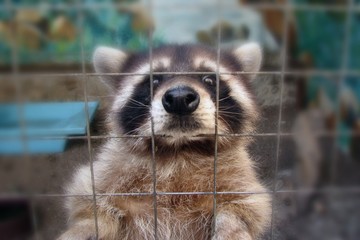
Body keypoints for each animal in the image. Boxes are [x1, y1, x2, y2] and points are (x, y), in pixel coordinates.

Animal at [59, 43, 272, 240]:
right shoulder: (107, 174)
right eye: (154, 80)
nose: (179, 98)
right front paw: (86, 227)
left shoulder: (237, 178)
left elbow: (243, 206)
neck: (179, 151)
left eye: (209, 79)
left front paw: (231, 227)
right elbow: (92, 205)